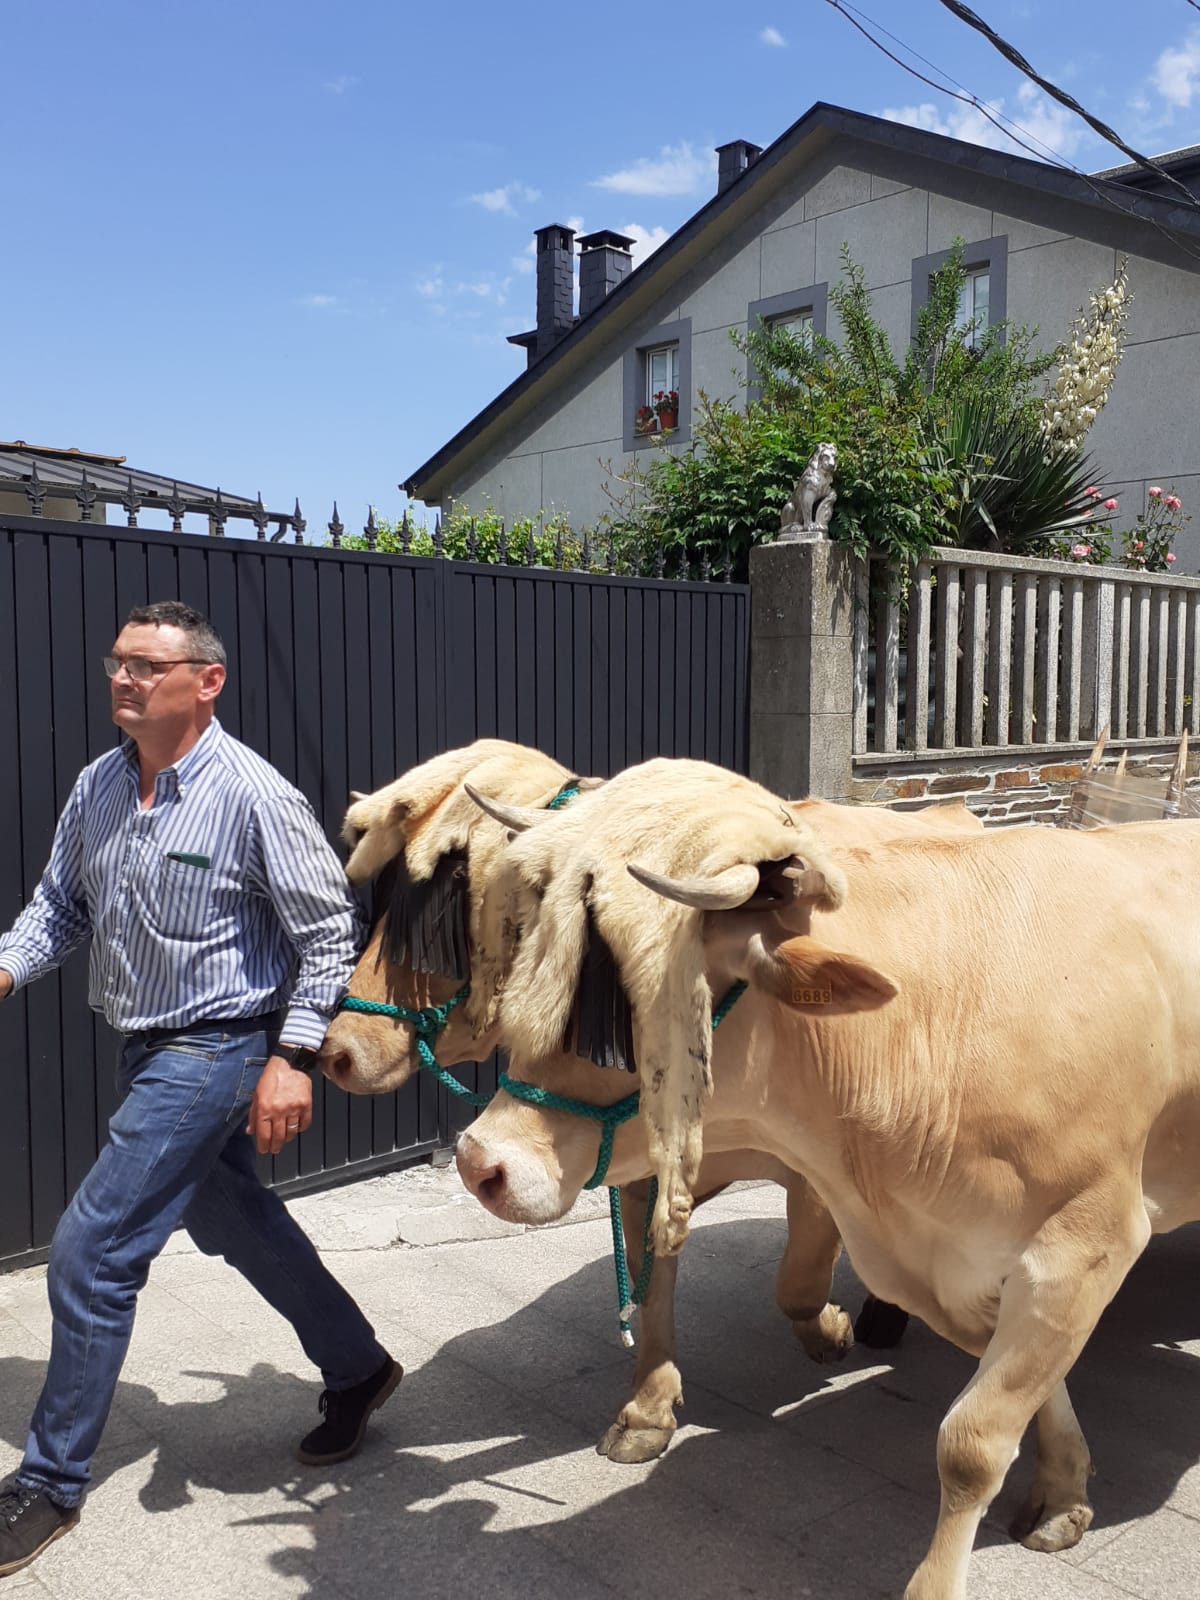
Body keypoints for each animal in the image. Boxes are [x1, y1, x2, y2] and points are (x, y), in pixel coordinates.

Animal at [321, 739, 979, 1462]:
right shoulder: (640, 1165)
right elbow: (652, 1283)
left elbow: (798, 1282)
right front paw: (648, 1407)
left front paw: (830, 1331)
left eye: (442, 920)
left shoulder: (823, 1168)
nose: (337, 1049)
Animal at [454, 757, 1200, 1600]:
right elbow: (1031, 1388)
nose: (479, 1161)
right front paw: (1066, 1489)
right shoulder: (954, 1260)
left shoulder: (1086, 1245)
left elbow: (972, 1442)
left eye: (622, 1016)